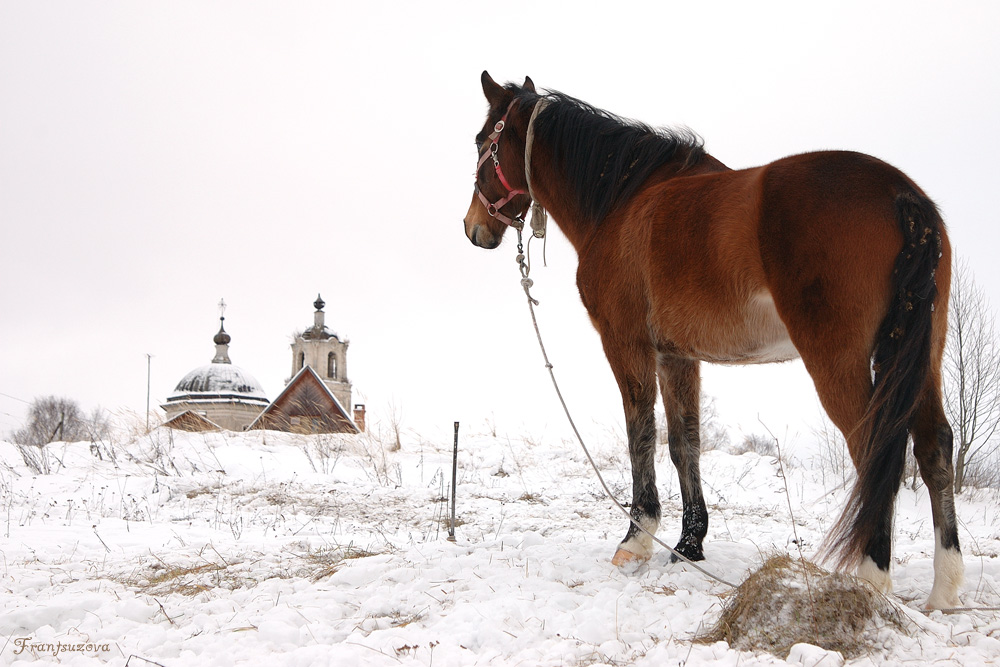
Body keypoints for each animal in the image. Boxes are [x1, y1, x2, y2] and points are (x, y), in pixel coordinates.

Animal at [464, 72, 964, 612]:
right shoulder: (677, 356)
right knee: (934, 446)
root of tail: (900, 193)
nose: (474, 228)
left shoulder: (627, 343)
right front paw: (689, 545)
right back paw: (944, 589)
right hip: (922, 357)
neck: (621, 200)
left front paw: (636, 540)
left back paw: (870, 581)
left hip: (839, 362)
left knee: (875, 450)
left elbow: (641, 434)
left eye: (481, 141)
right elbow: (686, 443)